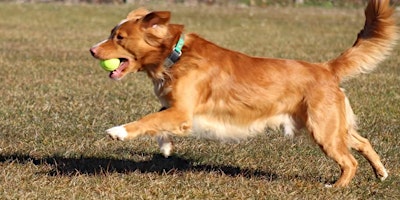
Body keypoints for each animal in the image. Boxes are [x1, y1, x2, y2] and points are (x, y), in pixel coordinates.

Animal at [90, 0, 396, 188]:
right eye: (112, 33)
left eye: (119, 38)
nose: (91, 50)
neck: (175, 55)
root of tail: (325, 68)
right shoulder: (176, 110)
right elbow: (158, 122)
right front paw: (165, 147)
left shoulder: (182, 112)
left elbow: (148, 120)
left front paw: (119, 131)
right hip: (331, 125)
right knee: (363, 142)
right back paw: (381, 172)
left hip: (323, 129)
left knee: (349, 161)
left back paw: (336, 186)